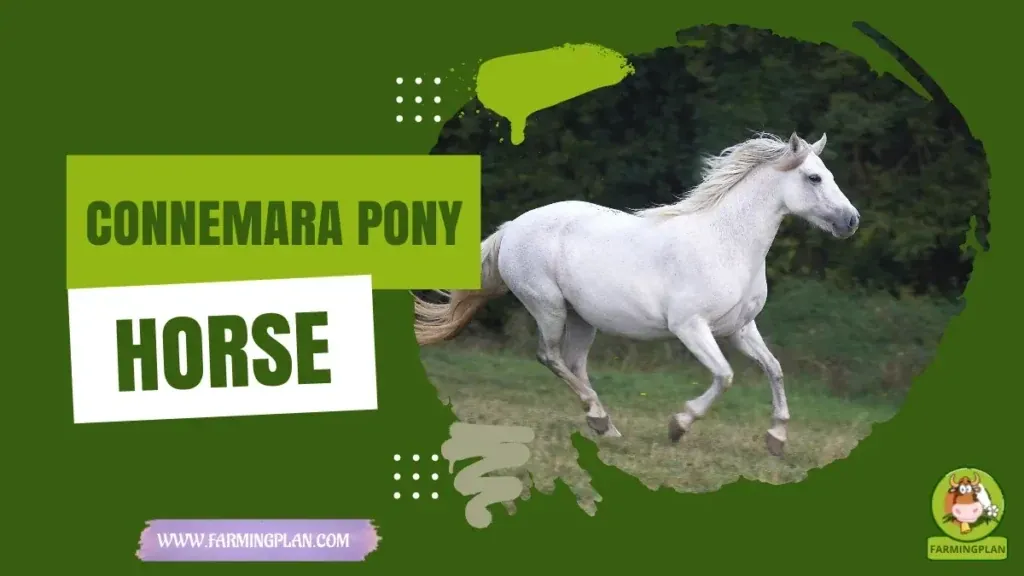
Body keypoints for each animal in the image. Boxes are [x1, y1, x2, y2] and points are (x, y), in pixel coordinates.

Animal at [413, 132, 859, 457]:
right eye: (814, 178)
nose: (851, 221)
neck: (726, 243)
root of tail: (511, 229)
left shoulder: (740, 328)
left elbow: (774, 369)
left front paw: (777, 439)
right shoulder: (691, 328)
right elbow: (725, 375)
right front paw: (678, 426)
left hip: (582, 318)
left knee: (574, 363)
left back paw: (605, 425)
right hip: (548, 307)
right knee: (549, 357)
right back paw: (598, 418)